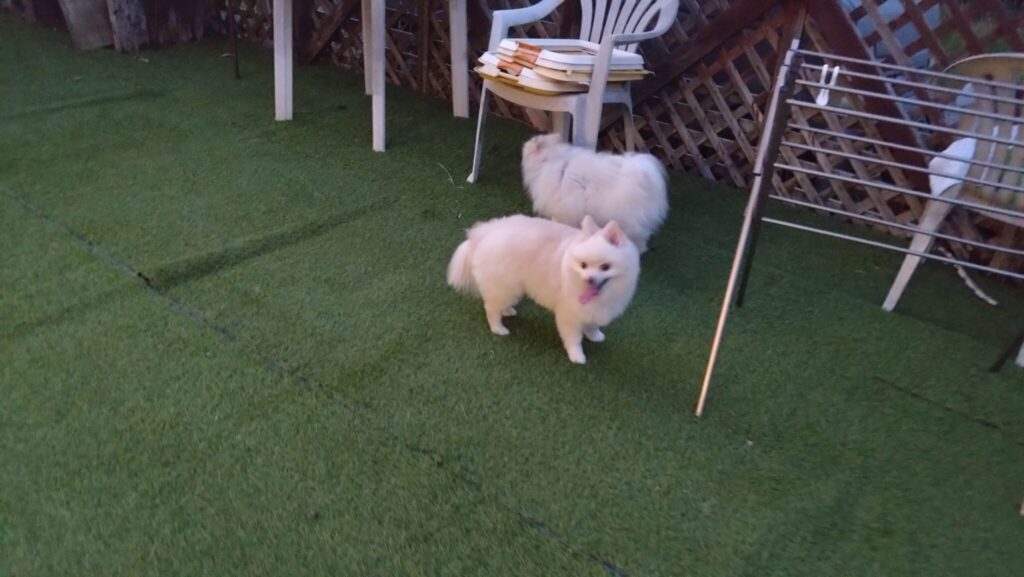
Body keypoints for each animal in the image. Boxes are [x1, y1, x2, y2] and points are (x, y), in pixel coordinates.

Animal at [447, 214, 640, 364]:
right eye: (583, 265)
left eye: (605, 267)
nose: (589, 279)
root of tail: (483, 233)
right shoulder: (569, 314)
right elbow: (574, 338)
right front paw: (577, 356)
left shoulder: (594, 309)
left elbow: (592, 325)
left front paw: (595, 336)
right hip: (505, 285)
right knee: (491, 308)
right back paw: (498, 328)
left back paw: (508, 310)